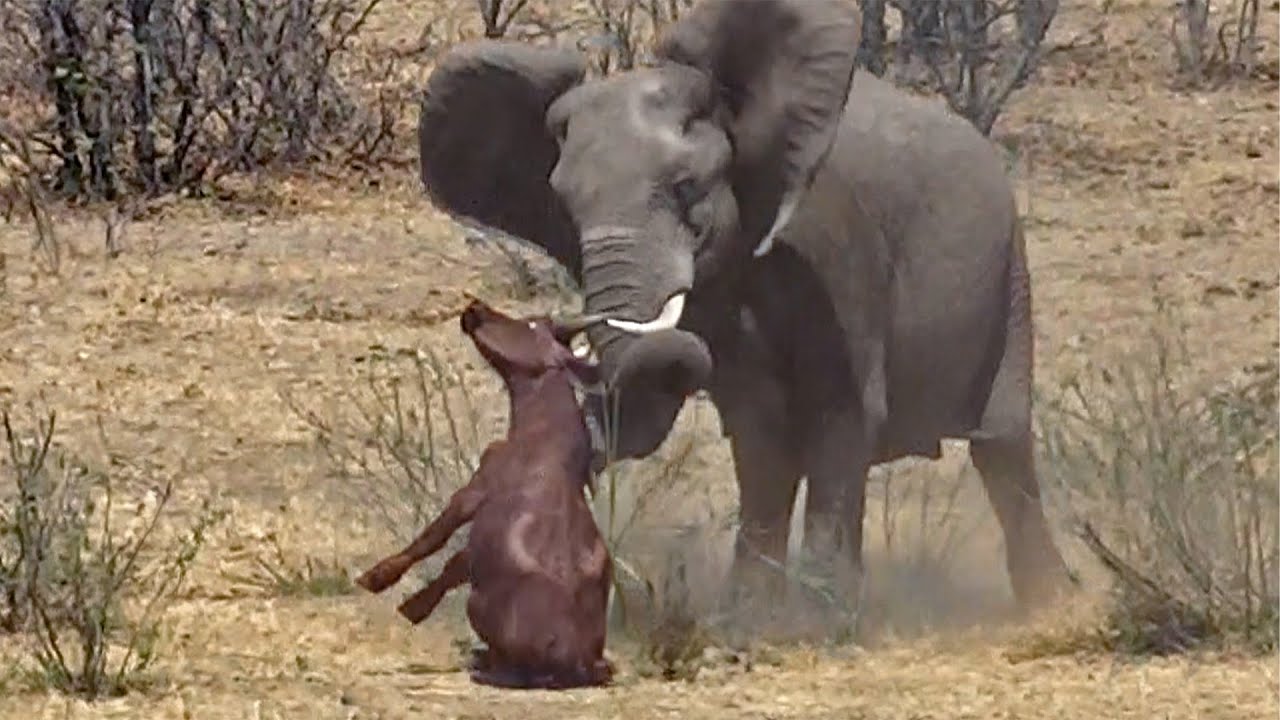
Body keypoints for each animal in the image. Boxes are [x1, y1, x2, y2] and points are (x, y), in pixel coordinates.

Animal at [358, 295, 616, 681]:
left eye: (529, 324)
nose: (475, 308)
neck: (546, 434)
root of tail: (571, 656)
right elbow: (453, 563)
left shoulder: (475, 490)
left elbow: (433, 540)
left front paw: (377, 581)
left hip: (476, 607)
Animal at [414, 0, 1075, 627]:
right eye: (565, 208)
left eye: (686, 188)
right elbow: (759, 437)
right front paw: (749, 620)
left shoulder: (837, 253)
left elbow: (843, 417)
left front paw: (820, 623)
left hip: (1010, 275)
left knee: (1002, 446)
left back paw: (1050, 603)